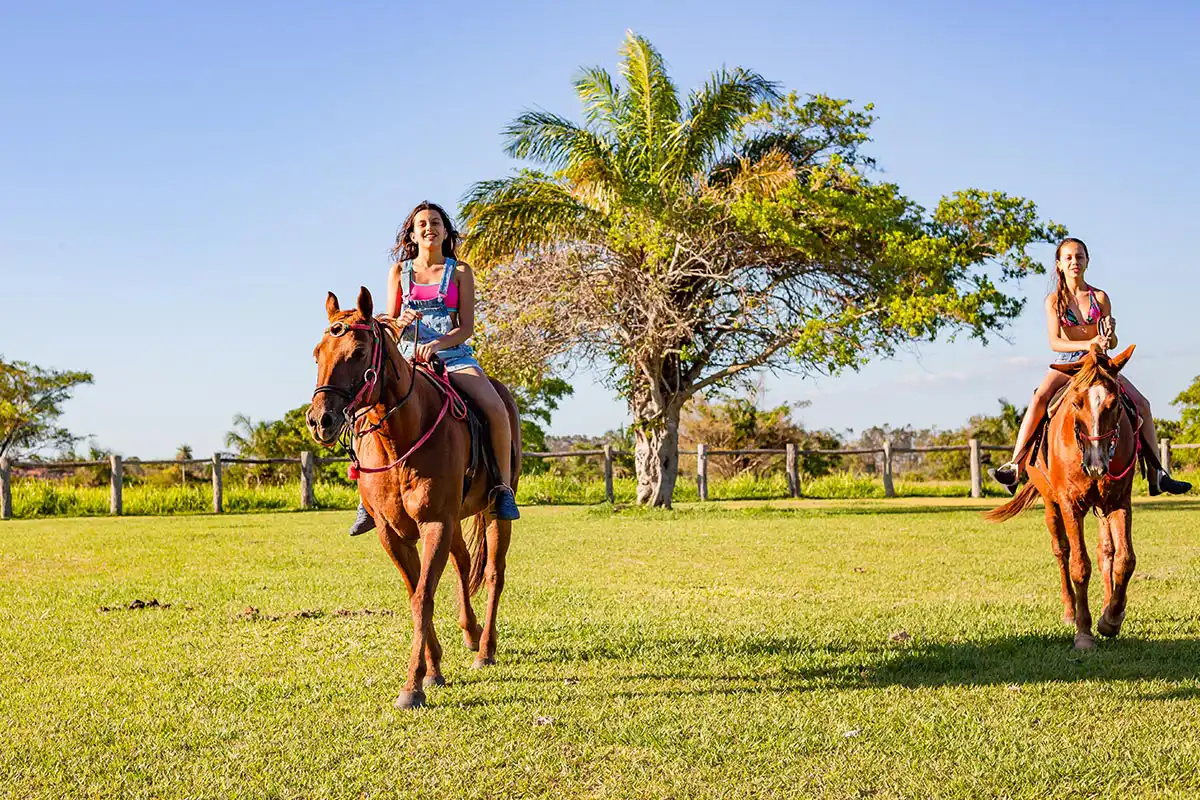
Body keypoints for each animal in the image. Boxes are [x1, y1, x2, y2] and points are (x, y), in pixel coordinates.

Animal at [306, 287, 521, 709]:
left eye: (358, 352)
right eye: (317, 353)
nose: (320, 420)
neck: (400, 439)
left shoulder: (435, 523)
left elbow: (423, 598)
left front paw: (413, 685)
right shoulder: (392, 532)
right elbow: (414, 593)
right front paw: (434, 669)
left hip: (492, 511)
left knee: (493, 572)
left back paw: (485, 648)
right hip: (455, 519)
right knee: (462, 563)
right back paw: (470, 633)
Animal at [986, 344, 1140, 650]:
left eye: (1115, 403)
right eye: (1076, 403)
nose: (1096, 464)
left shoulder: (1118, 502)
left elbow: (1125, 559)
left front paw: (1111, 618)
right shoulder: (1070, 504)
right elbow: (1079, 566)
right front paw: (1084, 632)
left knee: (1106, 550)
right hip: (1051, 504)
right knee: (1062, 551)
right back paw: (1070, 611)